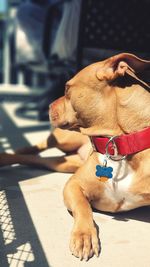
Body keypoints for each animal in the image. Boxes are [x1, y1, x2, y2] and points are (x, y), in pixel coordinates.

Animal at [49, 52, 150, 262]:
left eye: (67, 88)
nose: (48, 105)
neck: (120, 146)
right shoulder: (73, 185)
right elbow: (83, 207)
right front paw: (84, 235)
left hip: (64, 163)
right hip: (62, 141)